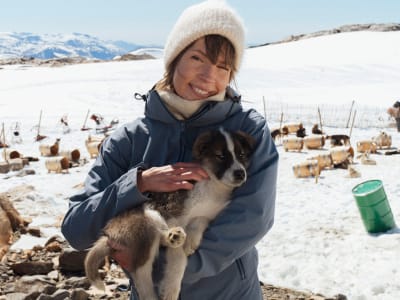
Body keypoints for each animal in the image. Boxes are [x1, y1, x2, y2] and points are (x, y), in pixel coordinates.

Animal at [84, 128, 255, 300]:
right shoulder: (172, 213)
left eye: (241, 154)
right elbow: (178, 258)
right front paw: (171, 289)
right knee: (142, 274)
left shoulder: (211, 212)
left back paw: (176, 236)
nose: (240, 173)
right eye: (220, 156)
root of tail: (108, 233)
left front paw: (192, 239)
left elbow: (200, 219)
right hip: (147, 220)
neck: (212, 185)